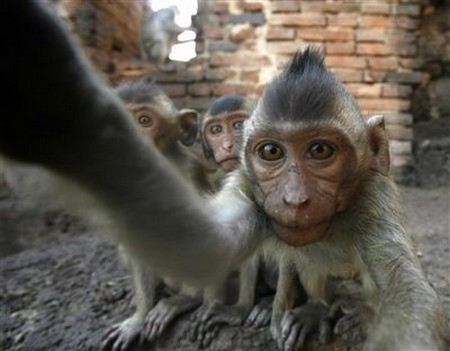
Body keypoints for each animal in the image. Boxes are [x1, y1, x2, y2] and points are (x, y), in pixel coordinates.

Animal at [0, 2, 446, 351]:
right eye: (271, 152)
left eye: (321, 151)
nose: (295, 199)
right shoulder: (249, 190)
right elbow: (206, 247)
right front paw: (61, 102)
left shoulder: (373, 197)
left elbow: (408, 296)